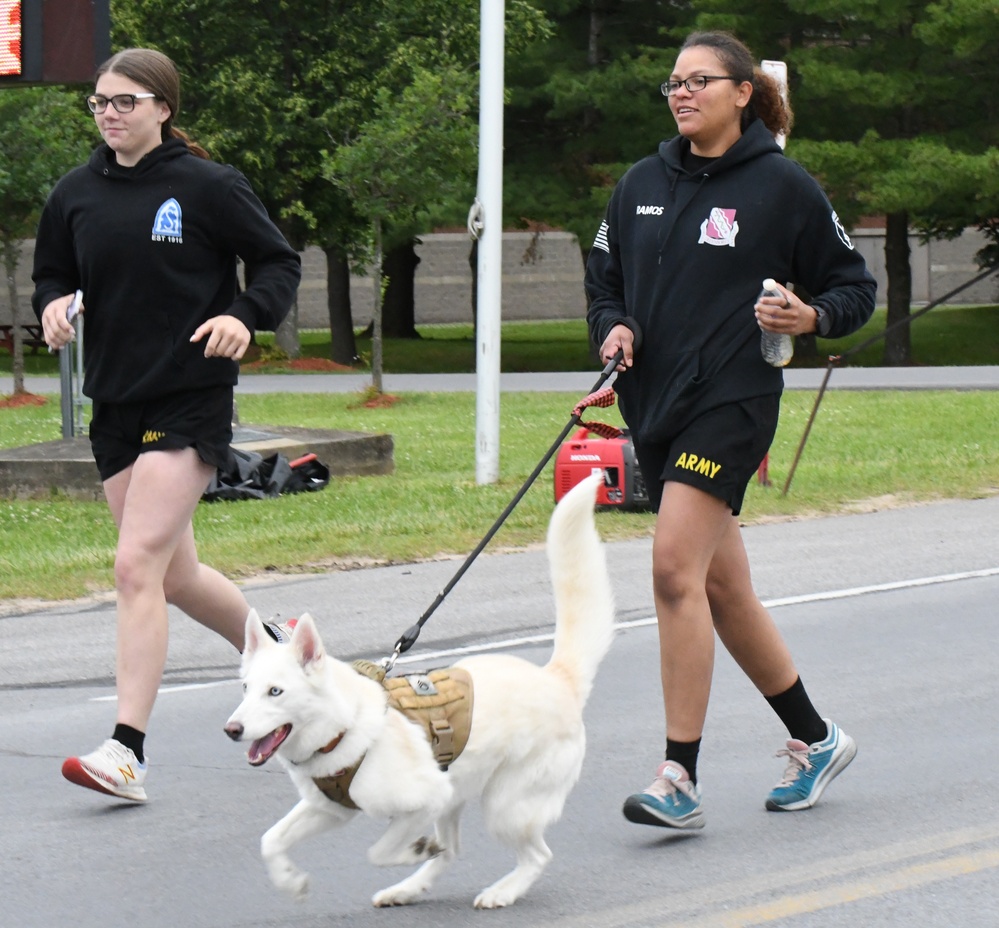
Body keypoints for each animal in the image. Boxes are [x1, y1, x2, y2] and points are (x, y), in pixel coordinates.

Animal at [226, 474, 612, 908]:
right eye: (246, 688)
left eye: (275, 692)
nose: (232, 729)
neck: (344, 728)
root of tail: (557, 678)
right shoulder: (328, 809)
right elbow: (270, 841)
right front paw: (290, 881)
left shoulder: (427, 798)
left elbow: (378, 851)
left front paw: (414, 849)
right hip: (465, 800)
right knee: (455, 851)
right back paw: (406, 889)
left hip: (504, 808)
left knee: (537, 855)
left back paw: (501, 891)